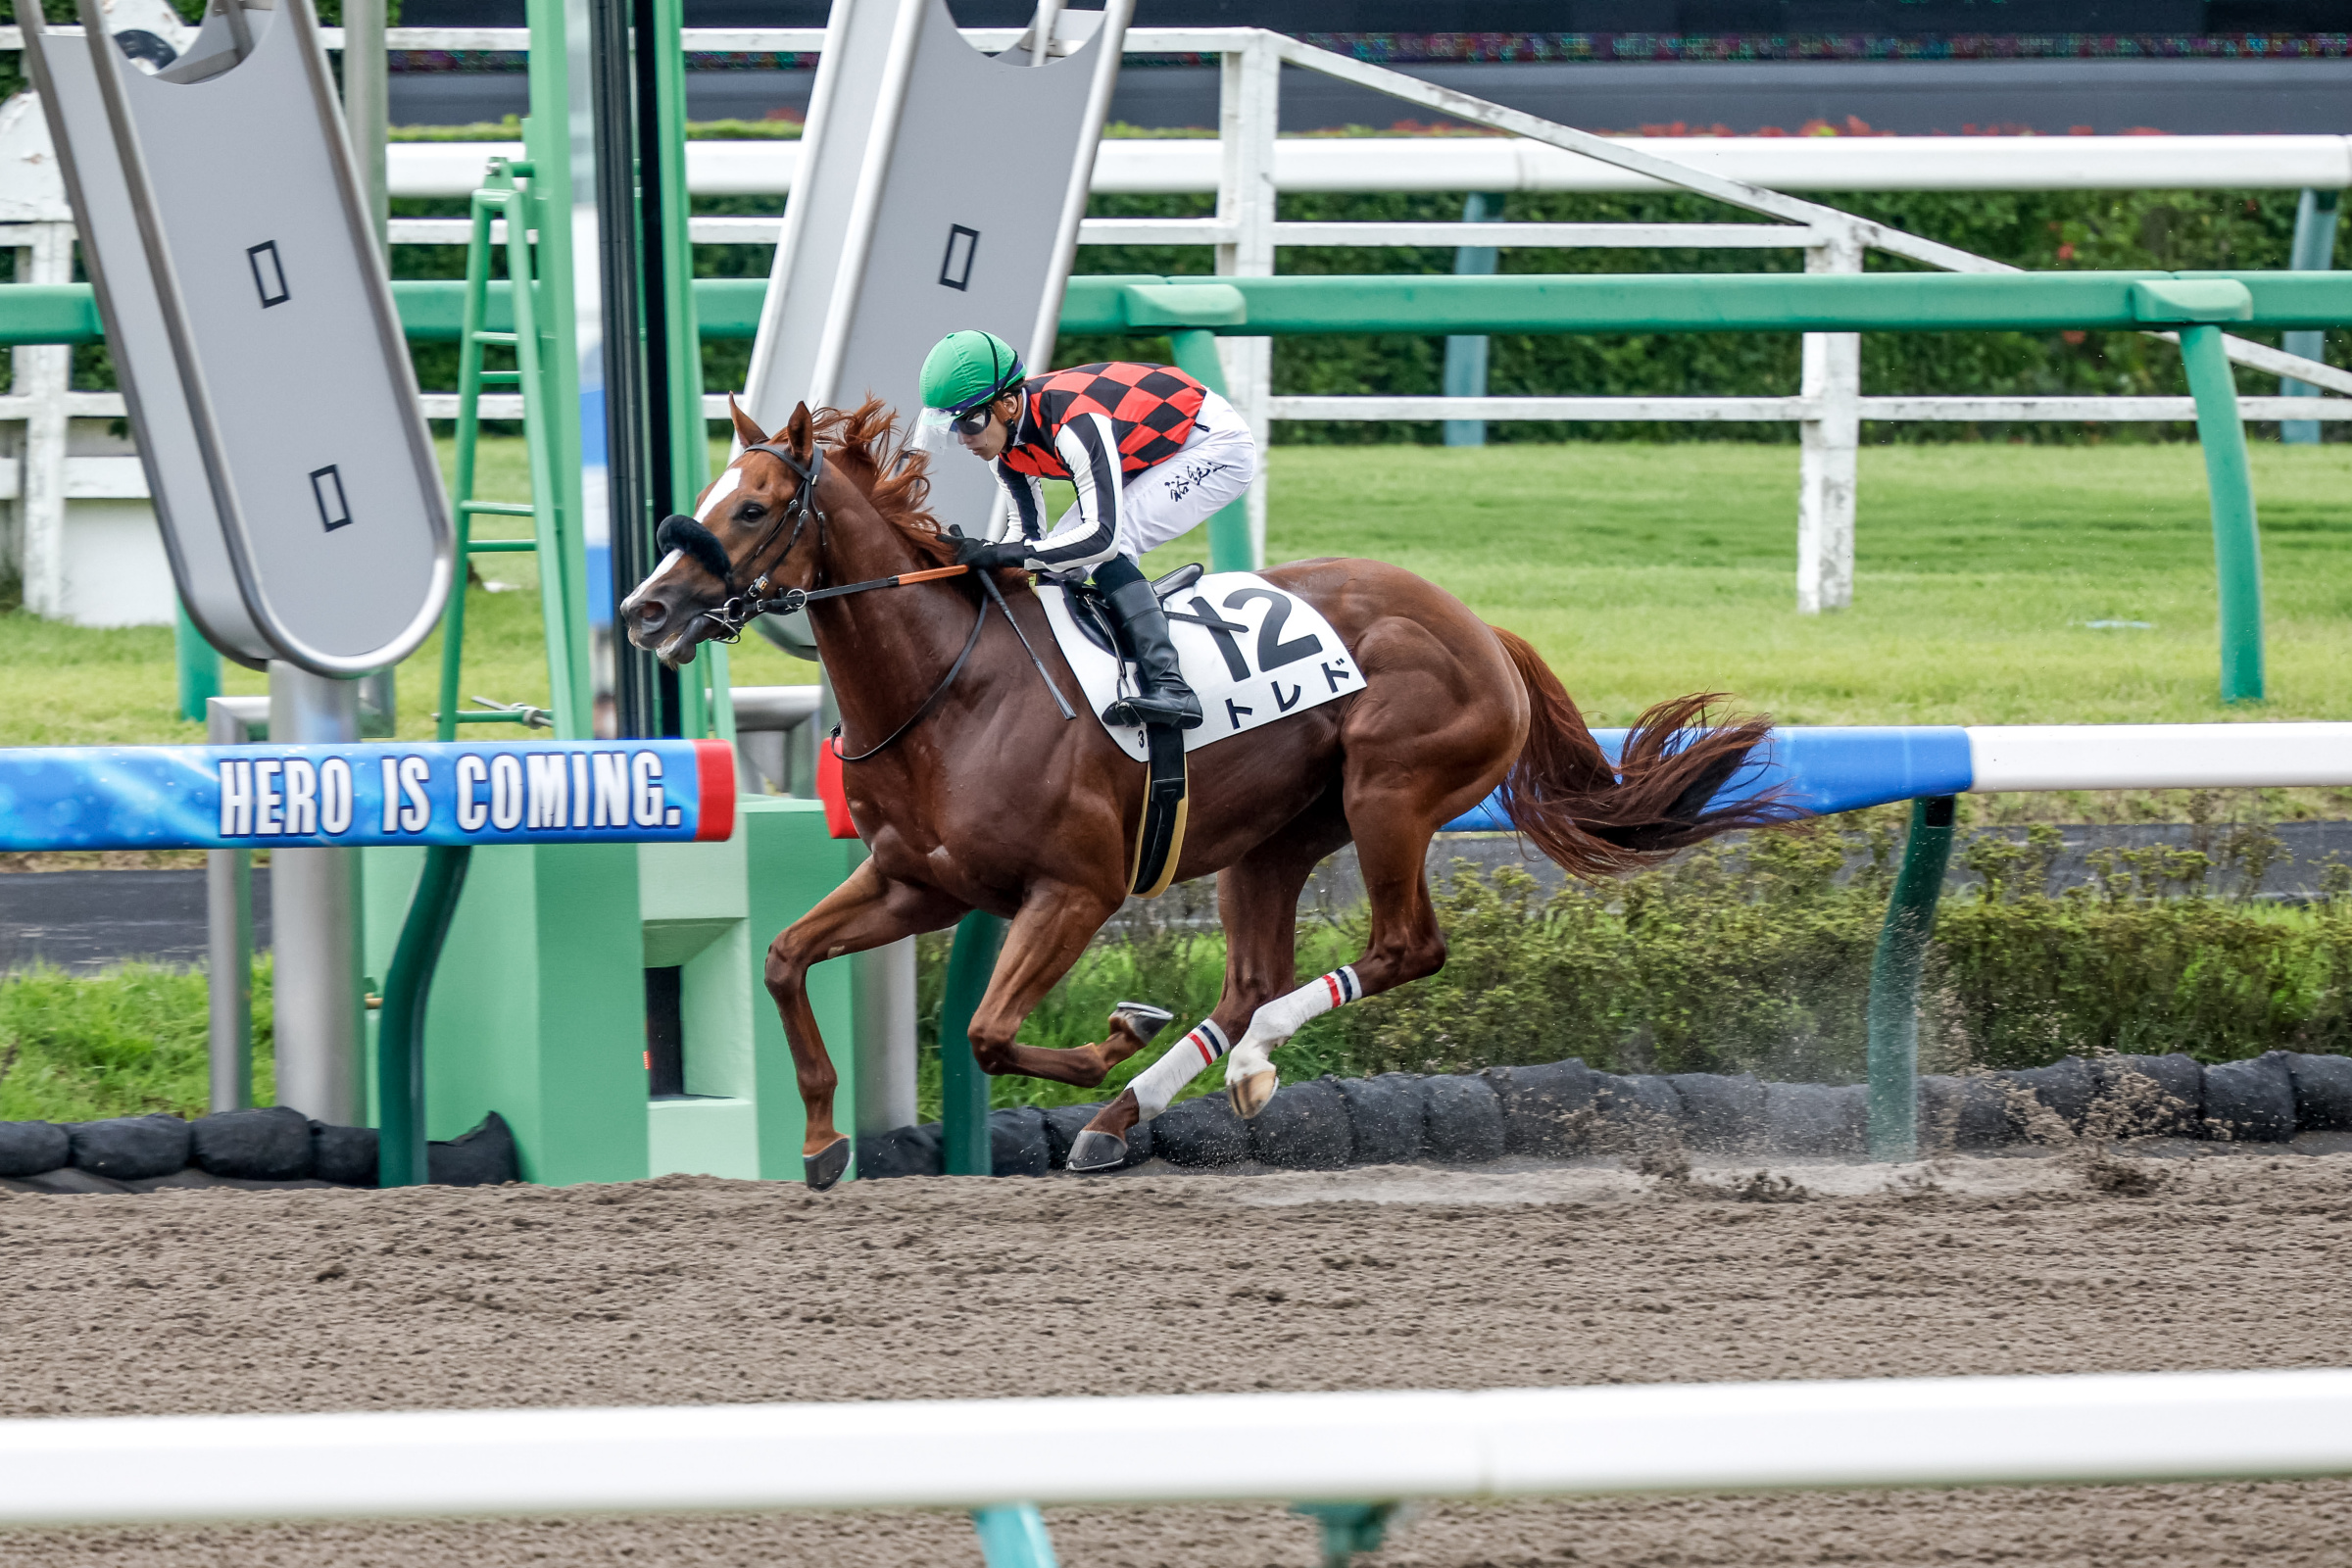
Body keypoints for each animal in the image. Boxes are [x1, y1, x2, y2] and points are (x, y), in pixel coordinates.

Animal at [619, 398, 1780, 1189]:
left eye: (754, 506)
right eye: (709, 500)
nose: (642, 610)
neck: (952, 688)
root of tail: (1480, 627)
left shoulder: (1072, 890)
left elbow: (990, 1032)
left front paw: (1115, 1033)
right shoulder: (919, 884)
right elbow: (782, 959)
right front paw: (822, 1140)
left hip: (1390, 795)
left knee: (1401, 949)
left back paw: (1239, 1067)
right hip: (1273, 836)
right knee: (1249, 979)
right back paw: (1130, 1114)